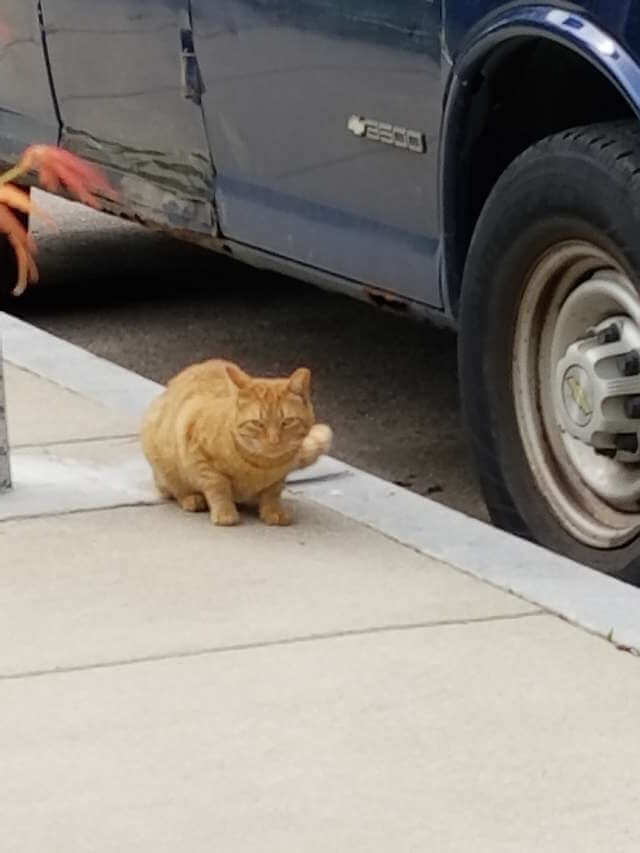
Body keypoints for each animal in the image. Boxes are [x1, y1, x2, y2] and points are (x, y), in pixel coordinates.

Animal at [139, 356, 330, 524]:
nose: (274, 440)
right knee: (173, 489)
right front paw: (225, 513)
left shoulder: (278, 478)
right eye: (257, 423)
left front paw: (273, 511)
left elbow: (272, 493)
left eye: (287, 422)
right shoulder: (197, 451)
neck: (261, 466)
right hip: (163, 462)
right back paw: (191, 498)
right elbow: (218, 486)